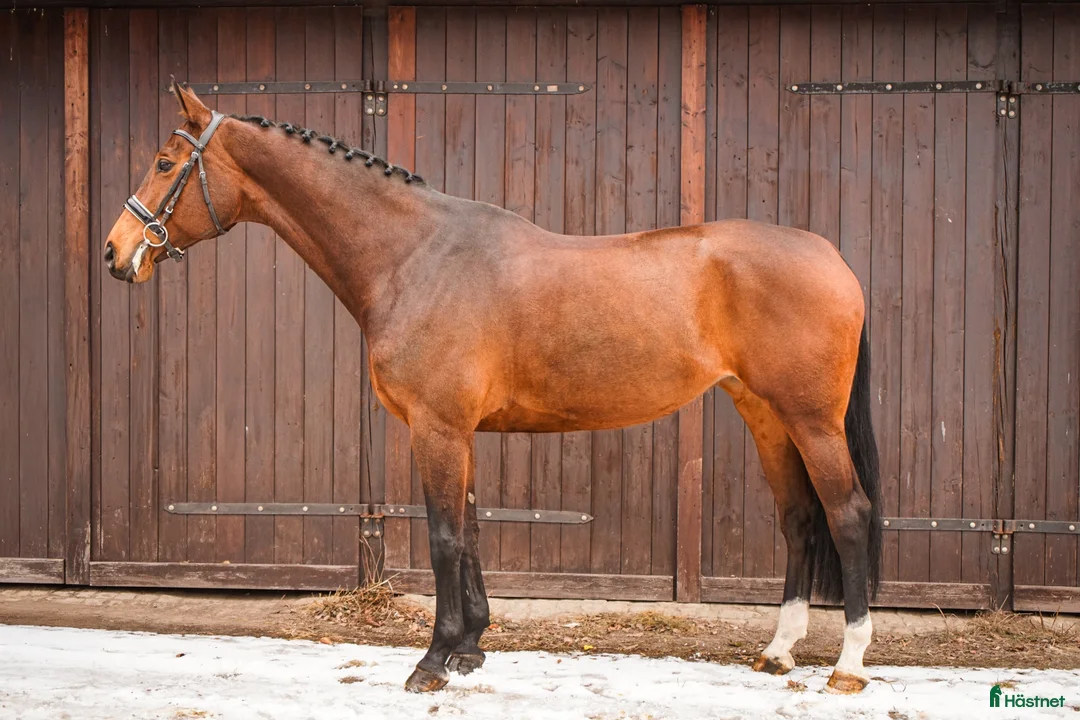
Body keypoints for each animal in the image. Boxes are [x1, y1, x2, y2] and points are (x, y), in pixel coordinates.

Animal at [104, 83, 883, 695]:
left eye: (165, 163)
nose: (116, 252)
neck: (415, 256)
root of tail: (832, 256)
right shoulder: (461, 433)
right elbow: (472, 531)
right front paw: (472, 648)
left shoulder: (437, 428)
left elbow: (445, 537)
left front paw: (433, 660)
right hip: (766, 416)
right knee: (799, 519)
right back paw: (778, 652)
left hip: (812, 421)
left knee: (846, 514)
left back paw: (848, 665)